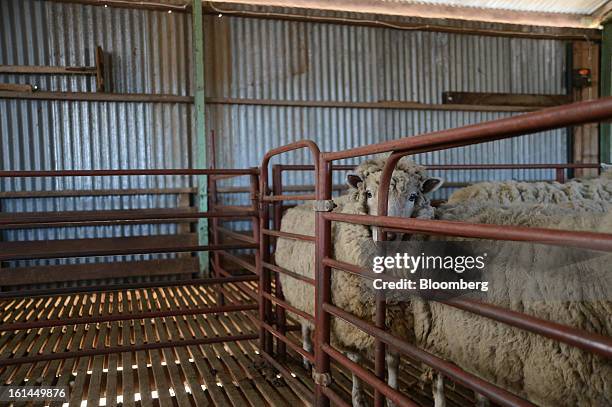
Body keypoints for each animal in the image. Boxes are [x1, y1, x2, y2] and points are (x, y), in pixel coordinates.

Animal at [274, 155, 442, 406]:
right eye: (369, 194)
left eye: (413, 196)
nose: (389, 234)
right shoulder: (347, 320)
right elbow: (355, 362)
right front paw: (357, 398)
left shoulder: (396, 322)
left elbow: (392, 361)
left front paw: (391, 393)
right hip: (300, 291)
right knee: (305, 324)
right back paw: (307, 355)